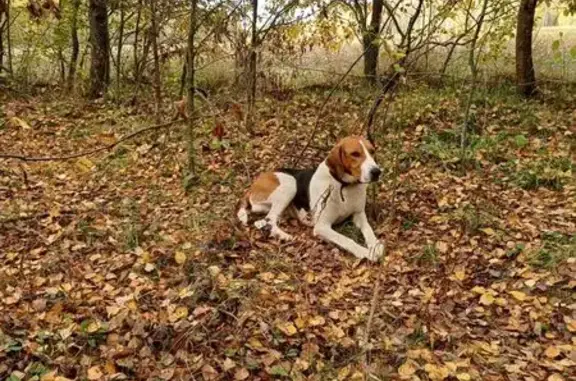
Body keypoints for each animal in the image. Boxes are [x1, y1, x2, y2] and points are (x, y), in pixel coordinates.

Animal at [236, 134, 384, 262]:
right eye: (355, 154)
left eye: (372, 151)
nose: (377, 172)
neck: (345, 187)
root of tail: (253, 185)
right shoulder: (322, 226)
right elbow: (346, 239)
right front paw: (364, 252)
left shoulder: (359, 215)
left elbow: (369, 230)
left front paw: (375, 246)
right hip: (290, 183)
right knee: (269, 219)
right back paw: (284, 236)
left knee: (262, 221)